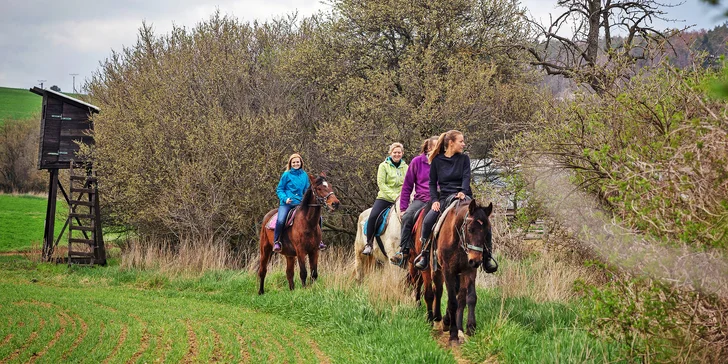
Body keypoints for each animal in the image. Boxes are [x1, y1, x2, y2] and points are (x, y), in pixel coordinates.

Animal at [410, 198, 494, 342]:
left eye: (487, 230)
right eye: (470, 229)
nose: (476, 260)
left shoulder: (469, 270)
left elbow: (470, 298)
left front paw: (470, 328)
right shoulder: (448, 271)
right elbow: (452, 302)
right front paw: (453, 334)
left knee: (441, 292)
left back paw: (442, 320)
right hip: (429, 269)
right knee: (431, 293)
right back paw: (432, 320)